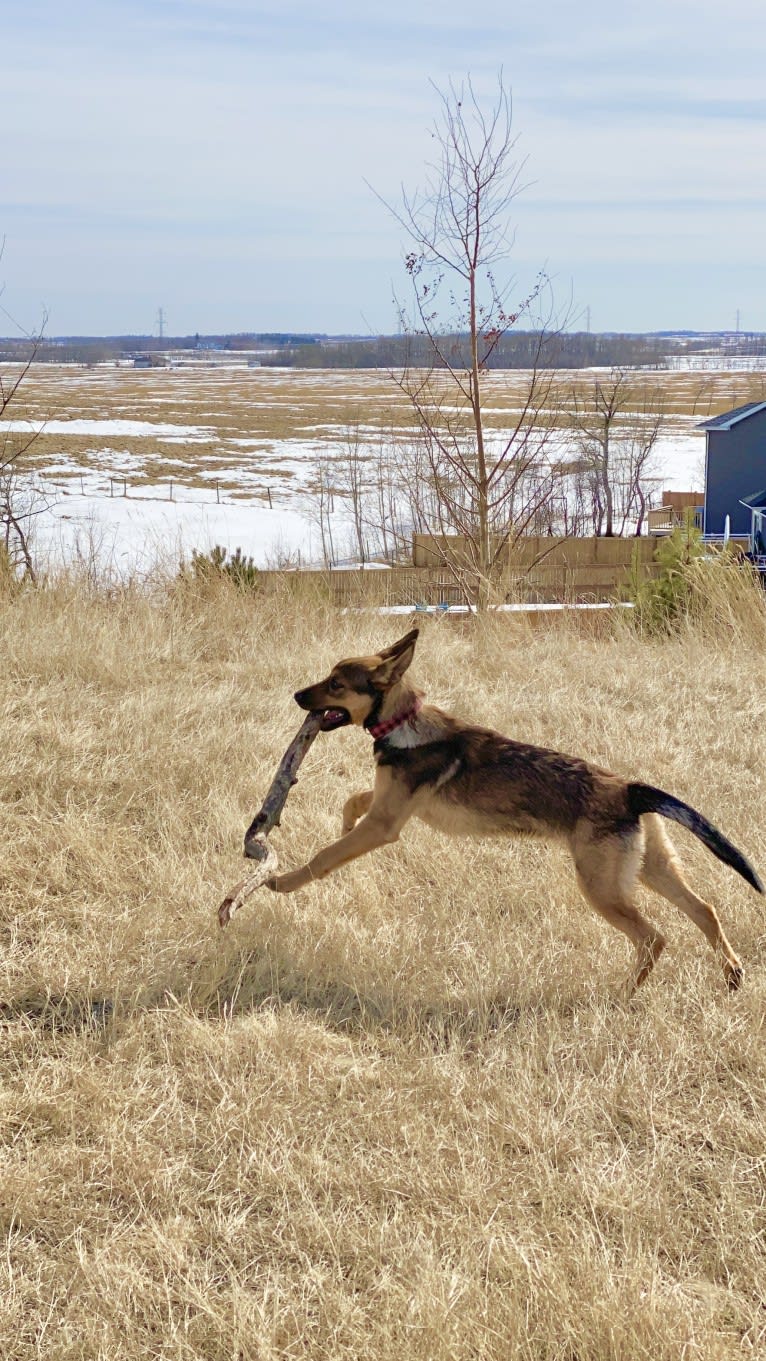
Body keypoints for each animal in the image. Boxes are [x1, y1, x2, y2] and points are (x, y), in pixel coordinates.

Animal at [266, 631, 761, 996]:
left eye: (336, 684)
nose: (295, 695)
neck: (403, 722)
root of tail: (630, 790)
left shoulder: (386, 825)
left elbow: (323, 858)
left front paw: (280, 882)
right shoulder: (389, 807)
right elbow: (353, 800)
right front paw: (341, 821)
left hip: (601, 888)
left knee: (654, 937)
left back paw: (624, 993)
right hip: (651, 870)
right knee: (705, 911)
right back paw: (731, 975)